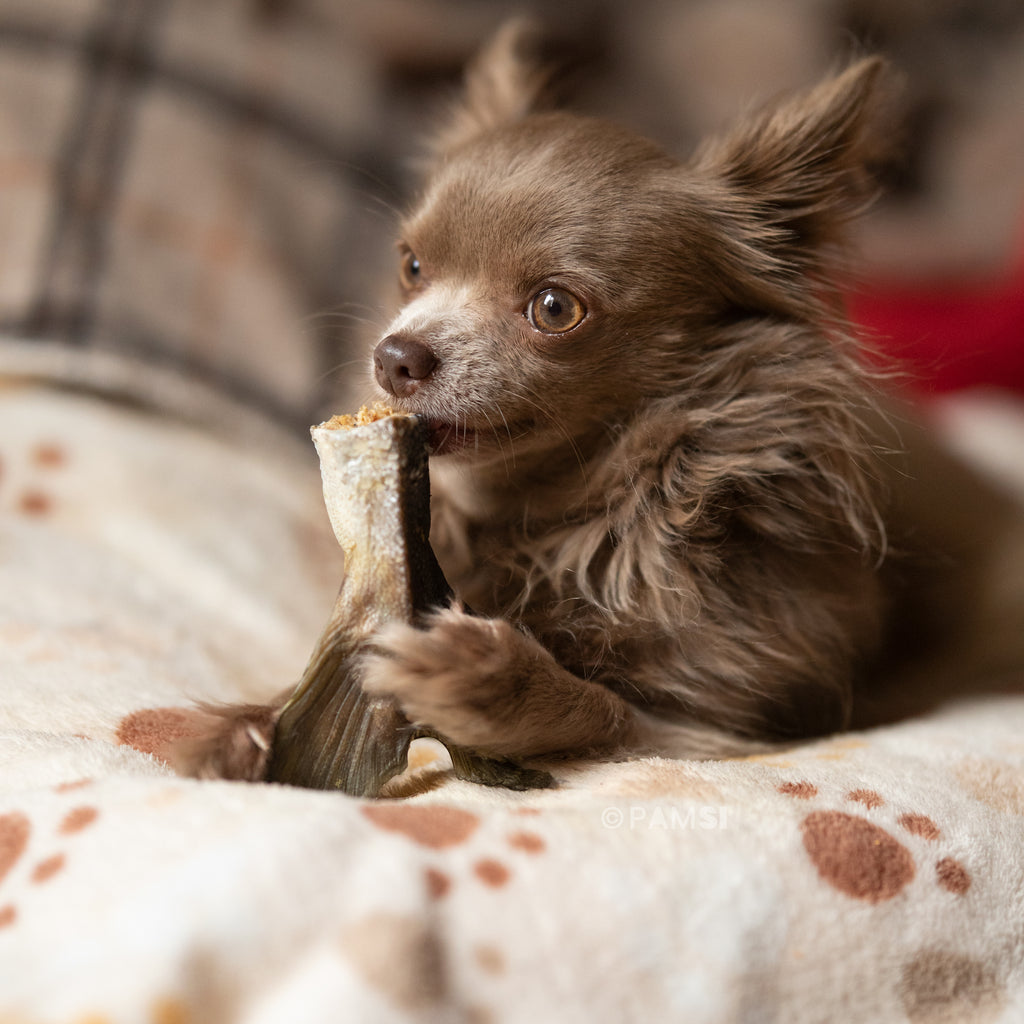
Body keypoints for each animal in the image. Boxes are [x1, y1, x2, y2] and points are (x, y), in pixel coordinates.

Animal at [172, 22, 1024, 774]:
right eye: (411, 266)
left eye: (555, 309)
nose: (395, 356)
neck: (559, 519)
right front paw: (254, 724)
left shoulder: (727, 718)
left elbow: (602, 707)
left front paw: (487, 679)